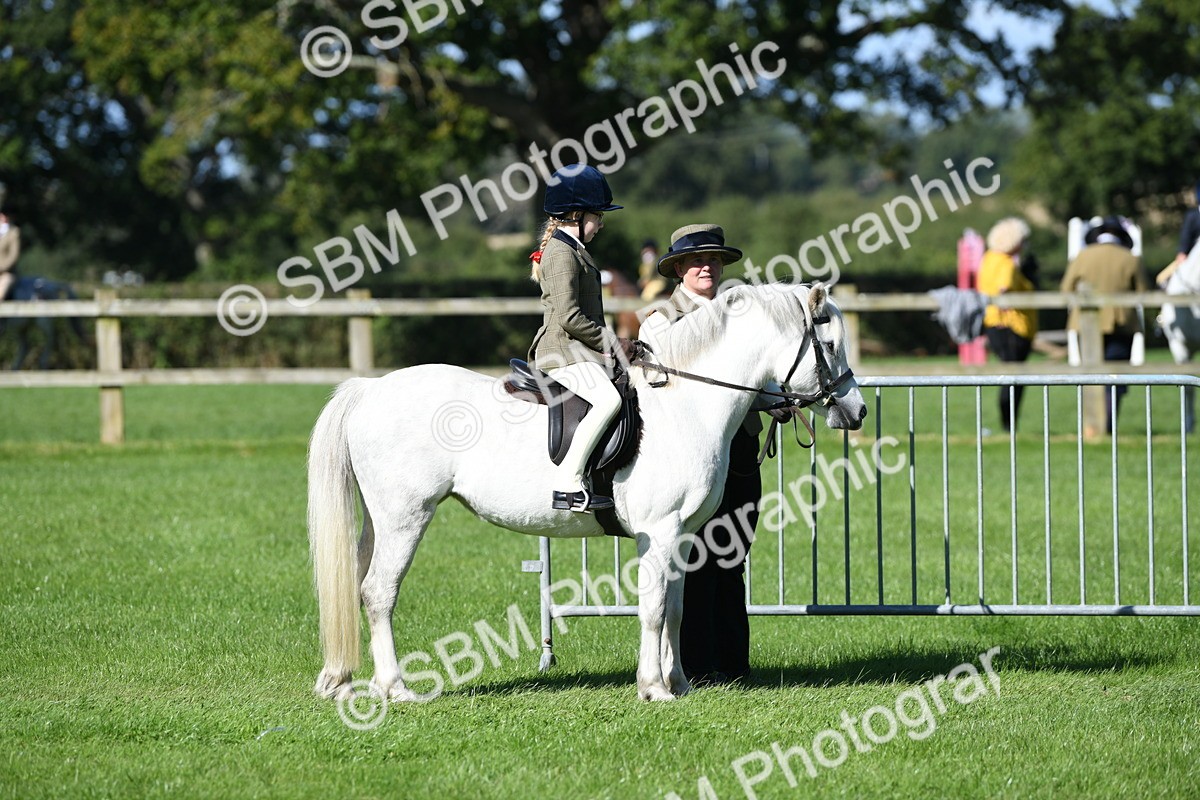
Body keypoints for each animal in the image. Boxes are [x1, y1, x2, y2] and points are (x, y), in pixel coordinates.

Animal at [307, 282, 866, 703]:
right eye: (829, 346)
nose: (856, 412)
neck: (687, 402)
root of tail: (370, 389)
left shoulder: (684, 535)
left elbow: (676, 609)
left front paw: (679, 683)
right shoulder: (657, 533)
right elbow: (653, 609)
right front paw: (652, 688)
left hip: (379, 520)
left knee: (354, 583)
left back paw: (345, 681)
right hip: (406, 517)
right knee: (379, 592)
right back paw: (396, 688)